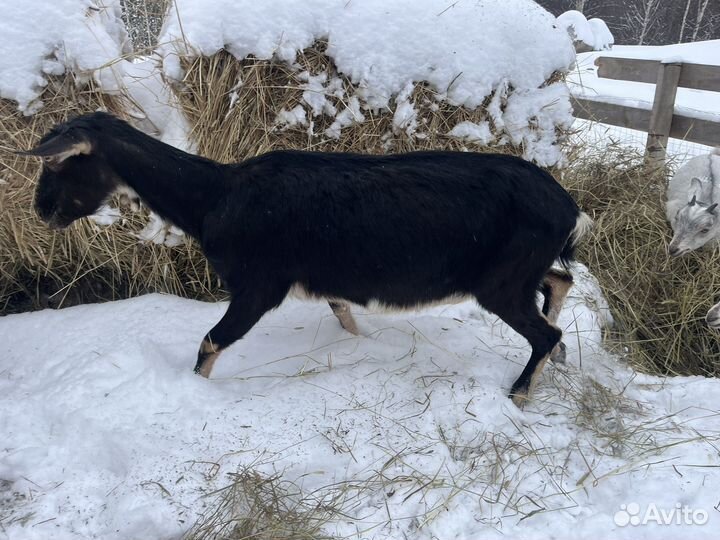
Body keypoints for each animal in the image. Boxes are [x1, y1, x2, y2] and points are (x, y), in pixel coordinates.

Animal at [20, 112, 591, 406]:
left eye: (63, 163)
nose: (42, 209)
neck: (215, 197)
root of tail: (569, 208)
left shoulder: (258, 285)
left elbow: (209, 342)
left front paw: (193, 393)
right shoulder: (326, 281)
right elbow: (345, 316)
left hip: (500, 282)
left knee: (545, 330)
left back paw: (519, 393)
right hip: (518, 274)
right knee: (557, 283)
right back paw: (558, 361)